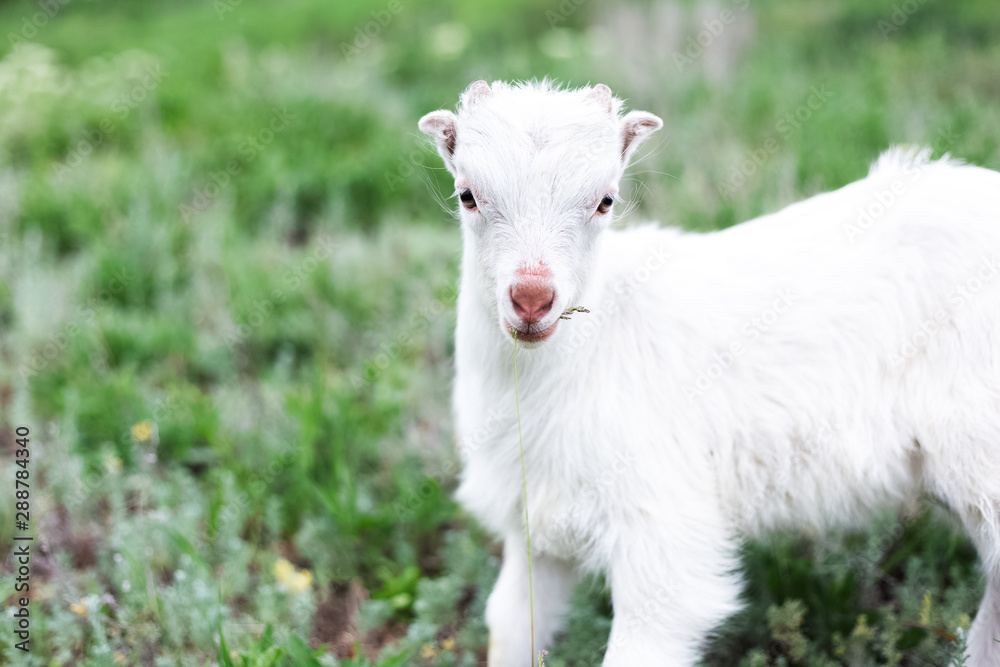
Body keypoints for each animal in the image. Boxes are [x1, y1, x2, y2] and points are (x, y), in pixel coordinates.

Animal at [416, 81, 1000, 664]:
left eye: (605, 200)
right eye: (467, 195)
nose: (532, 299)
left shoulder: (661, 529)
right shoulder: (536, 522)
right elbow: (511, 622)